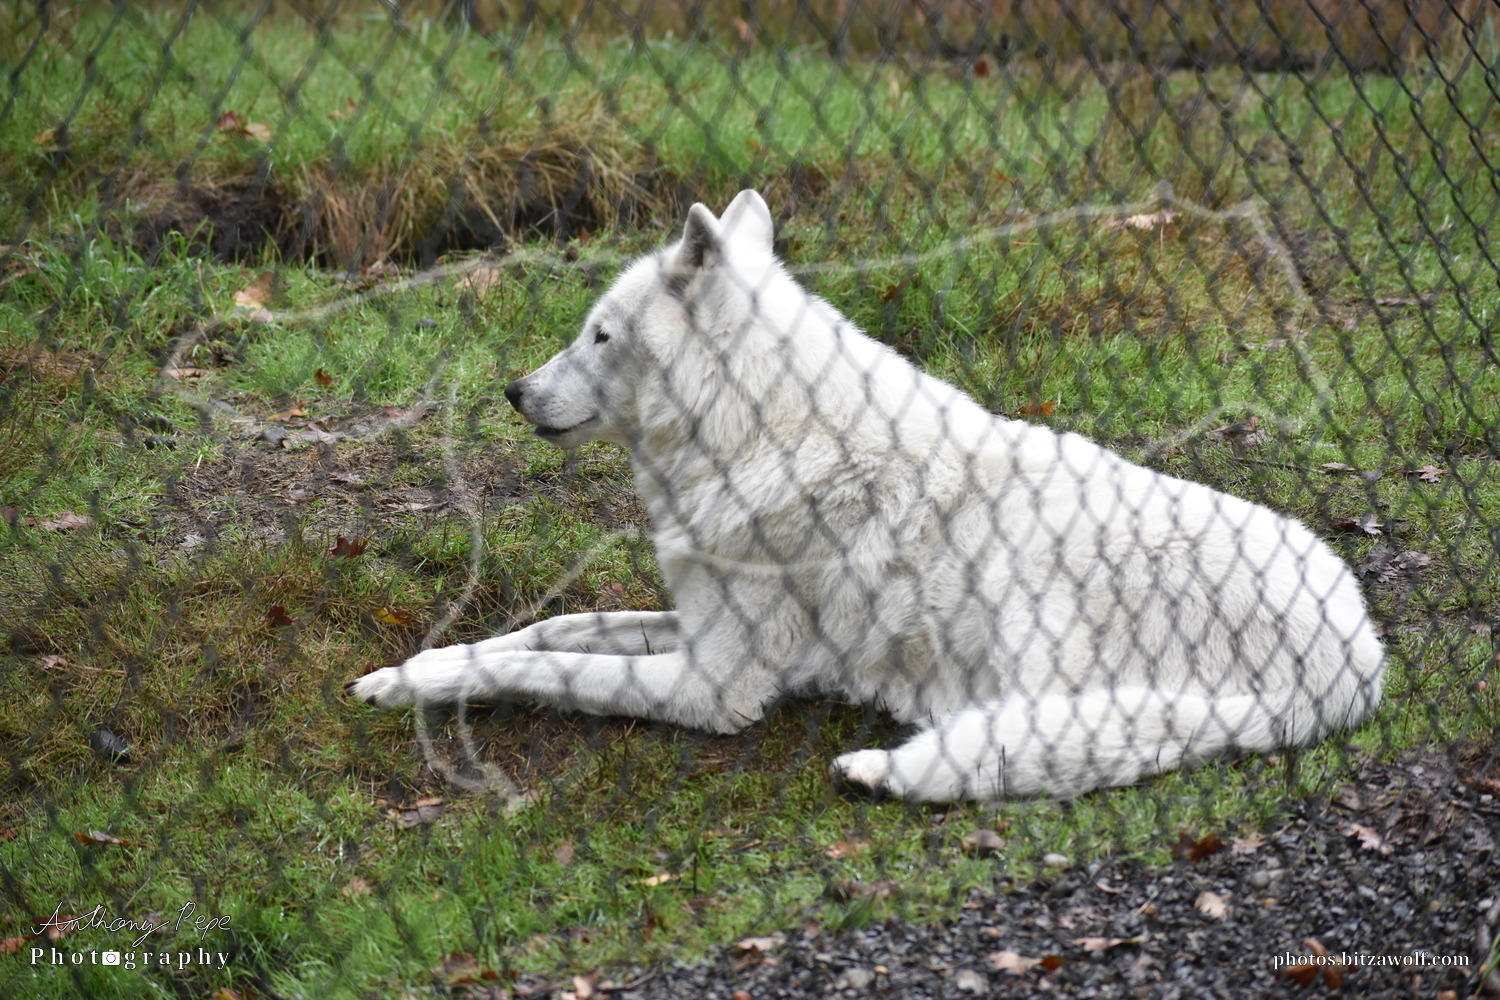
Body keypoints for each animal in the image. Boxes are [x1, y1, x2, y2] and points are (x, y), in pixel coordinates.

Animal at [349, 190, 1385, 801]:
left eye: (600, 336)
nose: (513, 391)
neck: (759, 432)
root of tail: (1363, 661)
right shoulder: (694, 621)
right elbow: (549, 630)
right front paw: (424, 661)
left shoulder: (716, 686)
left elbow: (551, 672)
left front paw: (410, 683)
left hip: (1035, 609)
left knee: (1021, 745)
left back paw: (881, 764)